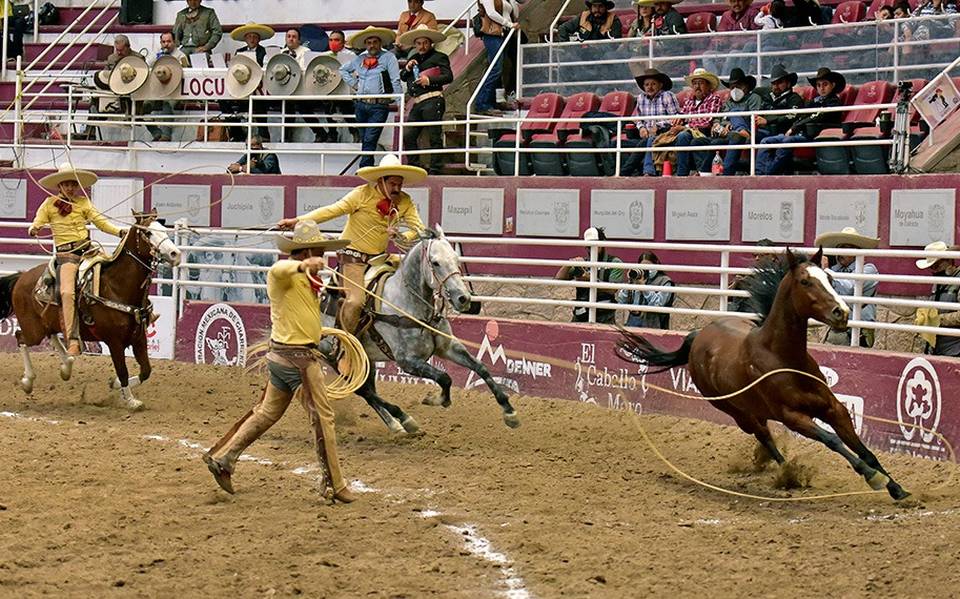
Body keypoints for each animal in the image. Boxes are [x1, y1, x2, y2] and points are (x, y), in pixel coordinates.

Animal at [0, 211, 182, 412]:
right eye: (148, 233)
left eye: (164, 229)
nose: (175, 254)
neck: (116, 287)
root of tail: (21, 276)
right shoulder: (114, 341)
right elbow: (123, 371)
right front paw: (131, 400)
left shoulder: (139, 337)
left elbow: (146, 370)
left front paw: (115, 385)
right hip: (33, 329)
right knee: (20, 337)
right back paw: (28, 381)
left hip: (48, 323)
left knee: (53, 336)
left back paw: (66, 366)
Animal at [320, 229, 516, 432]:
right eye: (436, 262)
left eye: (456, 259)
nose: (464, 299)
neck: (408, 303)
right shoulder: (407, 361)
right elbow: (445, 377)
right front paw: (437, 399)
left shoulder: (448, 348)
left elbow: (481, 367)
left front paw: (509, 411)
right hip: (335, 357)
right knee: (363, 390)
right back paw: (404, 419)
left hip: (366, 360)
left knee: (368, 390)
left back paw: (395, 425)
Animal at [620, 248, 912, 502]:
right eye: (805, 281)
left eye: (829, 279)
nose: (841, 312)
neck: (785, 359)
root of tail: (699, 335)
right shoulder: (793, 417)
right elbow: (833, 440)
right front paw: (874, 478)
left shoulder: (834, 409)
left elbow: (864, 449)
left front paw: (897, 488)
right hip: (737, 413)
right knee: (763, 435)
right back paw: (788, 472)